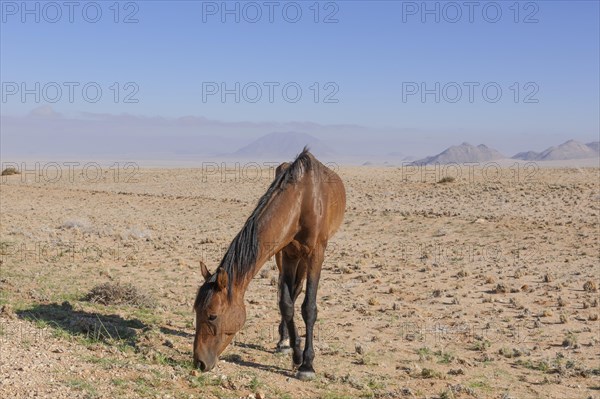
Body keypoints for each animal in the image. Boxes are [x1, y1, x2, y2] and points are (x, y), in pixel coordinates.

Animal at [195, 148, 344, 382]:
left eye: (212, 315)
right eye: (195, 311)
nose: (199, 362)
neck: (302, 200)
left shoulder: (316, 254)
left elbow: (308, 307)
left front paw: (307, 364)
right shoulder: (287, 252)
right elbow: (286, 303)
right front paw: (295, 354)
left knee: (298, 291)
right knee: (289, 293)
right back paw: (284, 341)